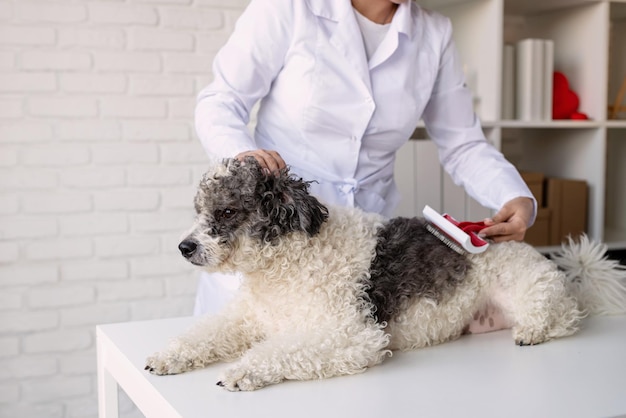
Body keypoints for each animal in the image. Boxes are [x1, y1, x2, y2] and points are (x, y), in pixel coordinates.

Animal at [146, 157, 624, 392]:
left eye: (227, 211)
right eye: (199, 210)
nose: (184, 247)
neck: (287, 262)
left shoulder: (353, 336)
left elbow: (281, 351)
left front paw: (244, 371)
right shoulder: (248, 317)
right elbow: (205, 333)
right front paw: (169, 356)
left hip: (531, 291)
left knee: (563, 317)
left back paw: (533, 330)